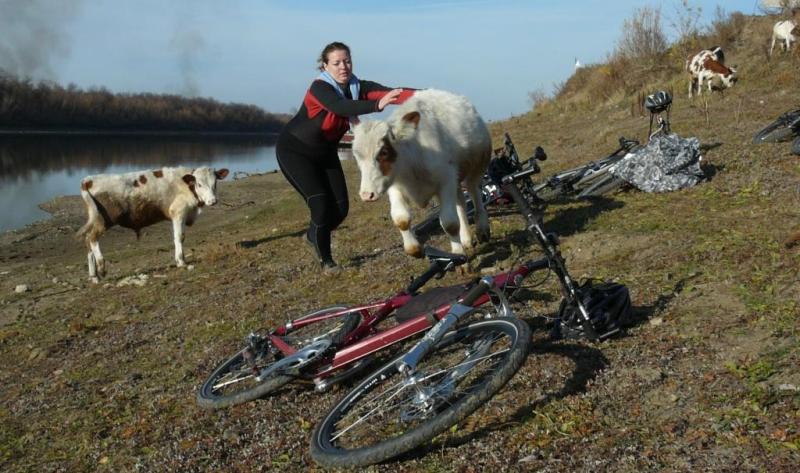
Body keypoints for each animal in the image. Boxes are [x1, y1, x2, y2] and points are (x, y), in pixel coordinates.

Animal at [77, 166, 228, 280]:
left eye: (215, 183)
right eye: (199, 184)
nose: (213, 201)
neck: (187, 186)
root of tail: (88, 180)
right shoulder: (178, 212)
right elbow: (179, 237)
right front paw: (181, 262)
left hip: (95, 218)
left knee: (87, 240)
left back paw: (94, 276)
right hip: (105, 219)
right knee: (92, 238)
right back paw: (101, 267)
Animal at [352, 88, 490, 258]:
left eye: (384, 152)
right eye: (357, 155)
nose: (367, 195)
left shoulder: (445, 181)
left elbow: (450, 222)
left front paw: (457, 253)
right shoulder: (395, 185)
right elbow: (401, 219)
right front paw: (414, 248)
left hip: (477, 167)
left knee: (474, 193)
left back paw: (482, 229)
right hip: (456, 179)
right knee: (461, 203)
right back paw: (466, 239)